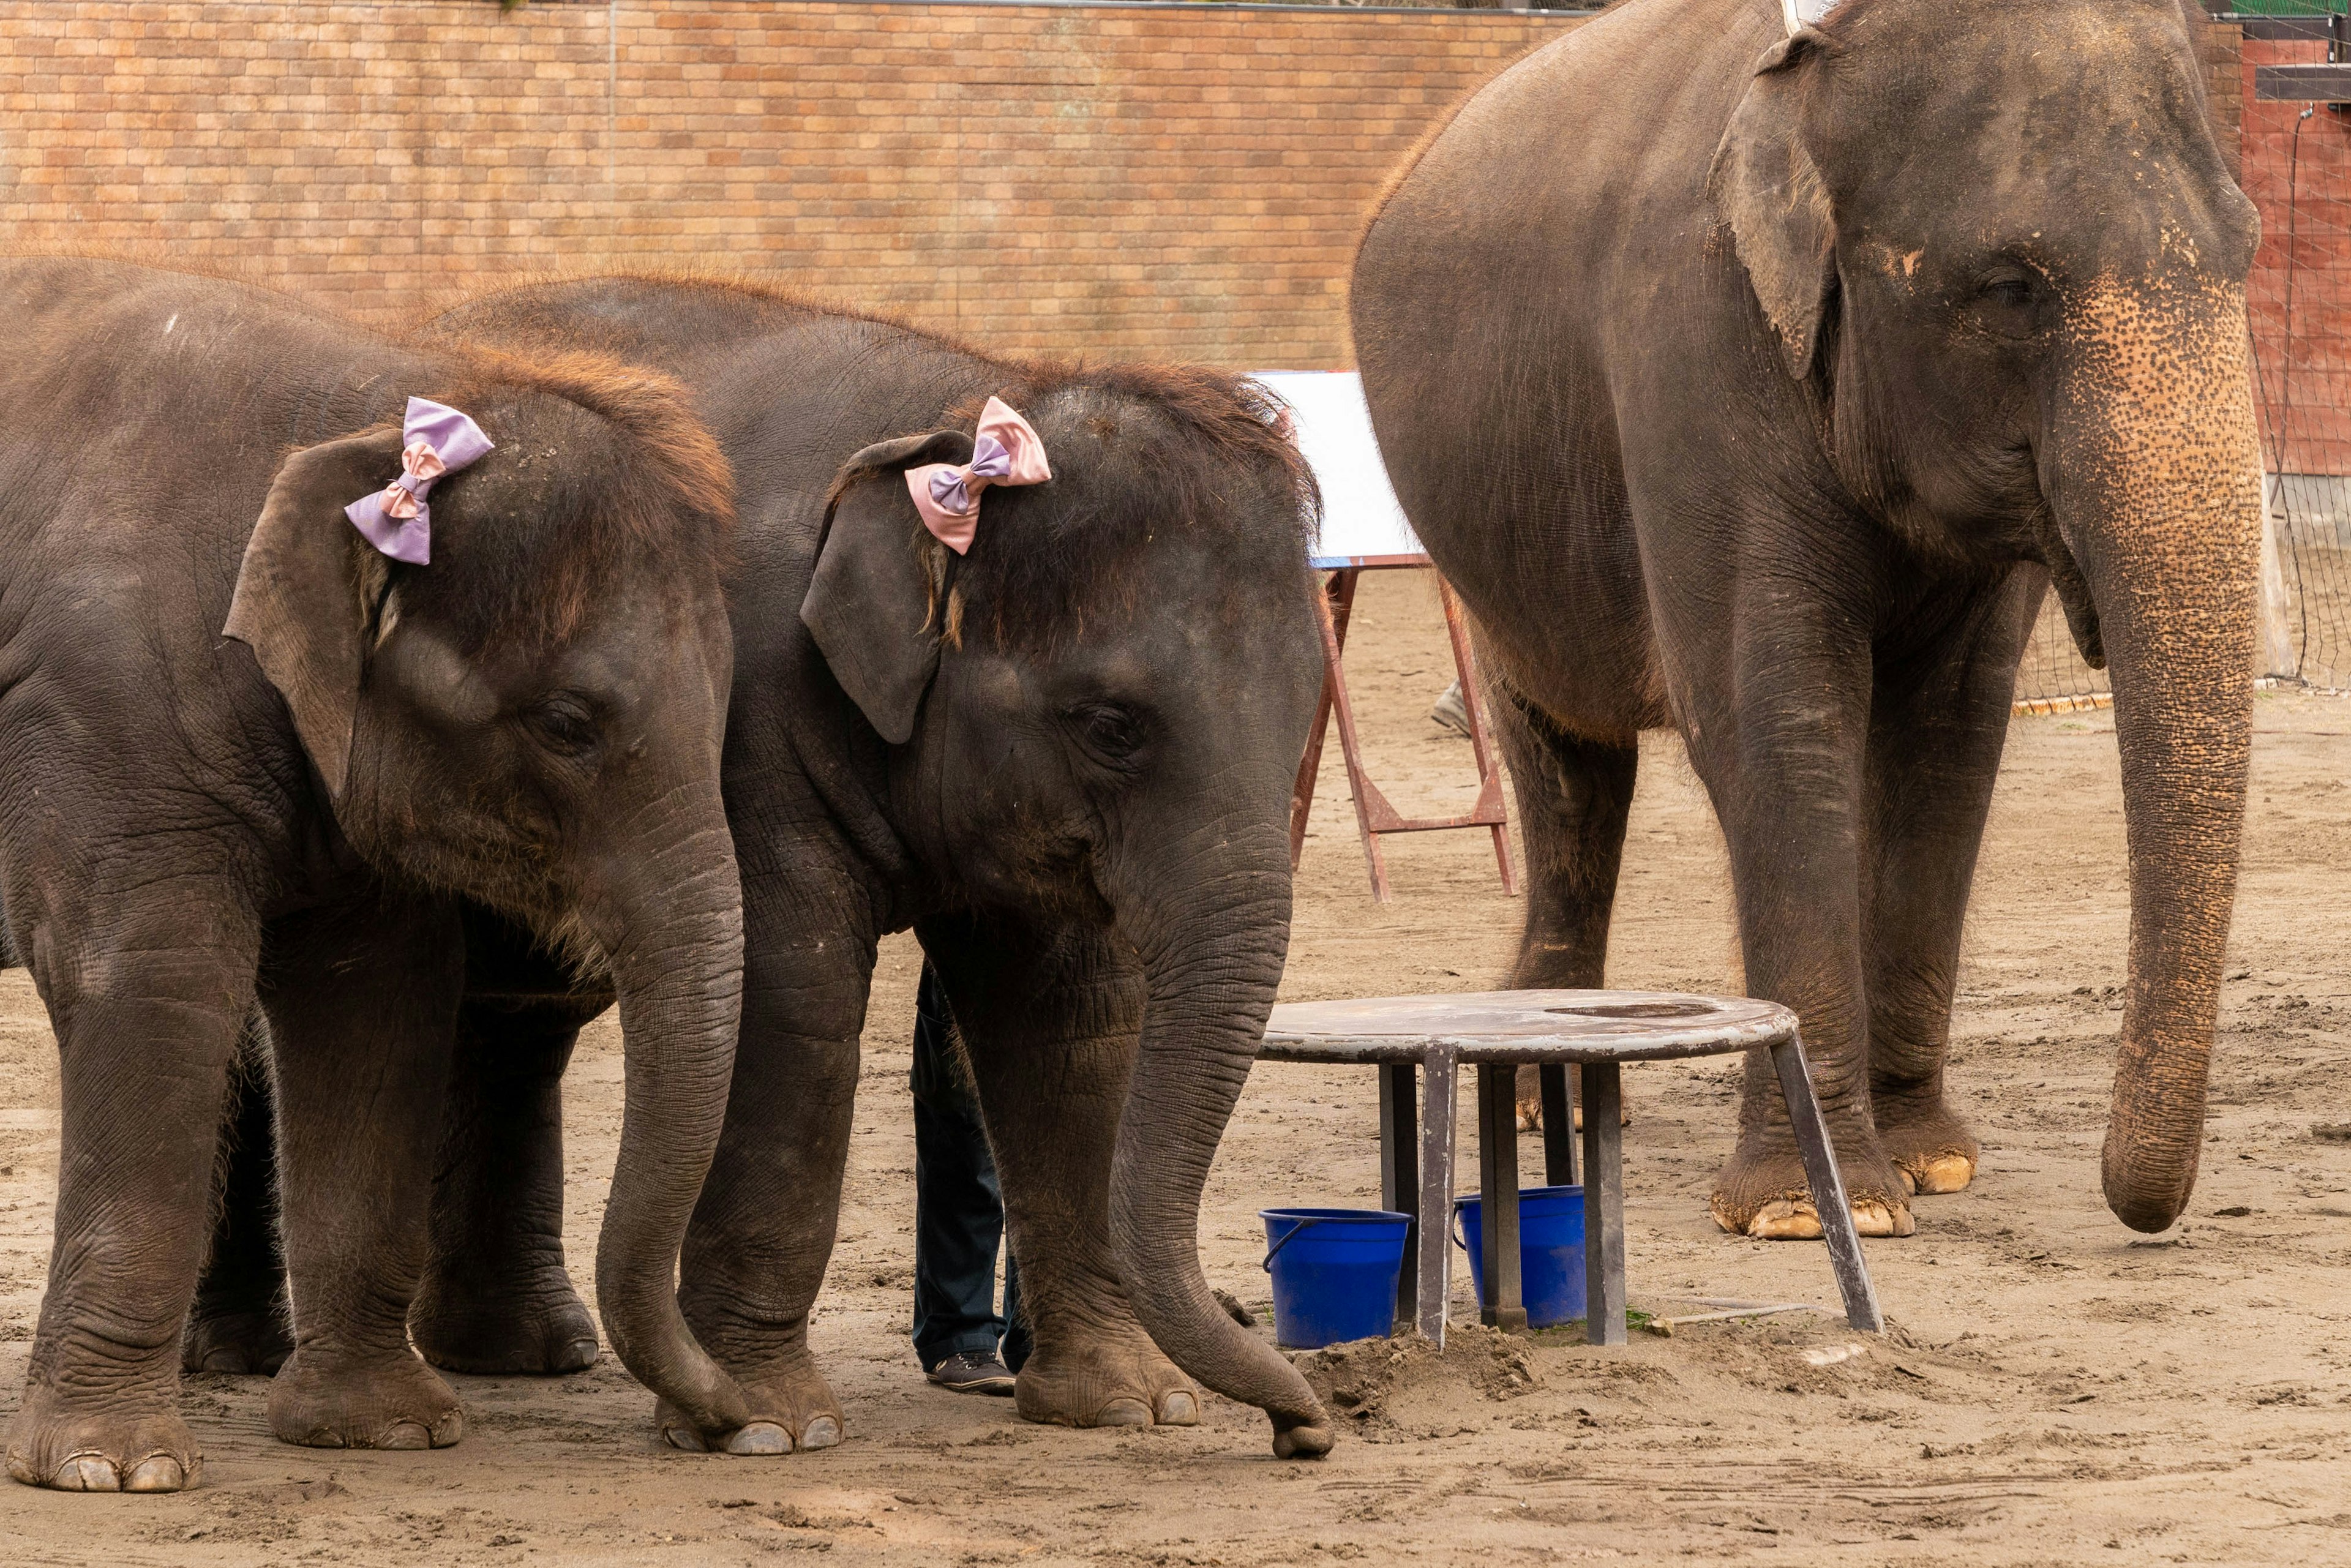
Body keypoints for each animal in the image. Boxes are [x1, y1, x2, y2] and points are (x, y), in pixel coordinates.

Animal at [0, 261, 766, 1495]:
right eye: (567, 725)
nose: (731, 1423)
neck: (366, 400)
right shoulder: (102, 716)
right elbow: (159, 986)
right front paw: (112, 1471)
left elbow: (379, 1001)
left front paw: (386, 1429)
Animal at [1354, 0, 2266, 1241]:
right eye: (2011, 288)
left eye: (2250, 252)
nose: (2133, 1208)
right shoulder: (1694, 349)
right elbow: (1778, 723)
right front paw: (1811, 1210)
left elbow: (1948, 739)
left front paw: (1931, 1166)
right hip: (1489, 551)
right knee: (1563, 755)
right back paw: (1546, 1098)